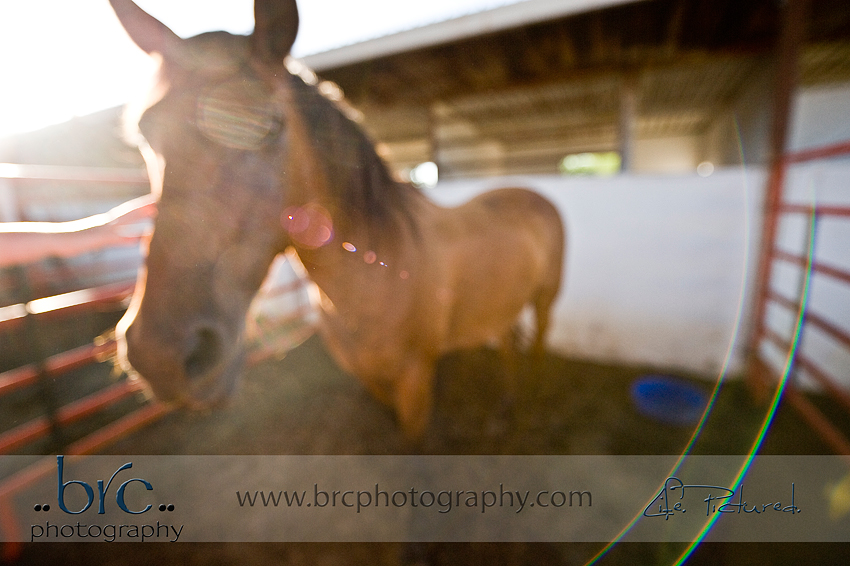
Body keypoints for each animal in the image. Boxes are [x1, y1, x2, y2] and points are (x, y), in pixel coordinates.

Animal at [110, 0, 565, 440]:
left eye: (270, 124)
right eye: (146, 134)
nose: (160, 357)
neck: (377, 270)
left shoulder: (416, 383)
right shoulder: (371, 379)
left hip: (545, 301)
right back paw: (504, 410)